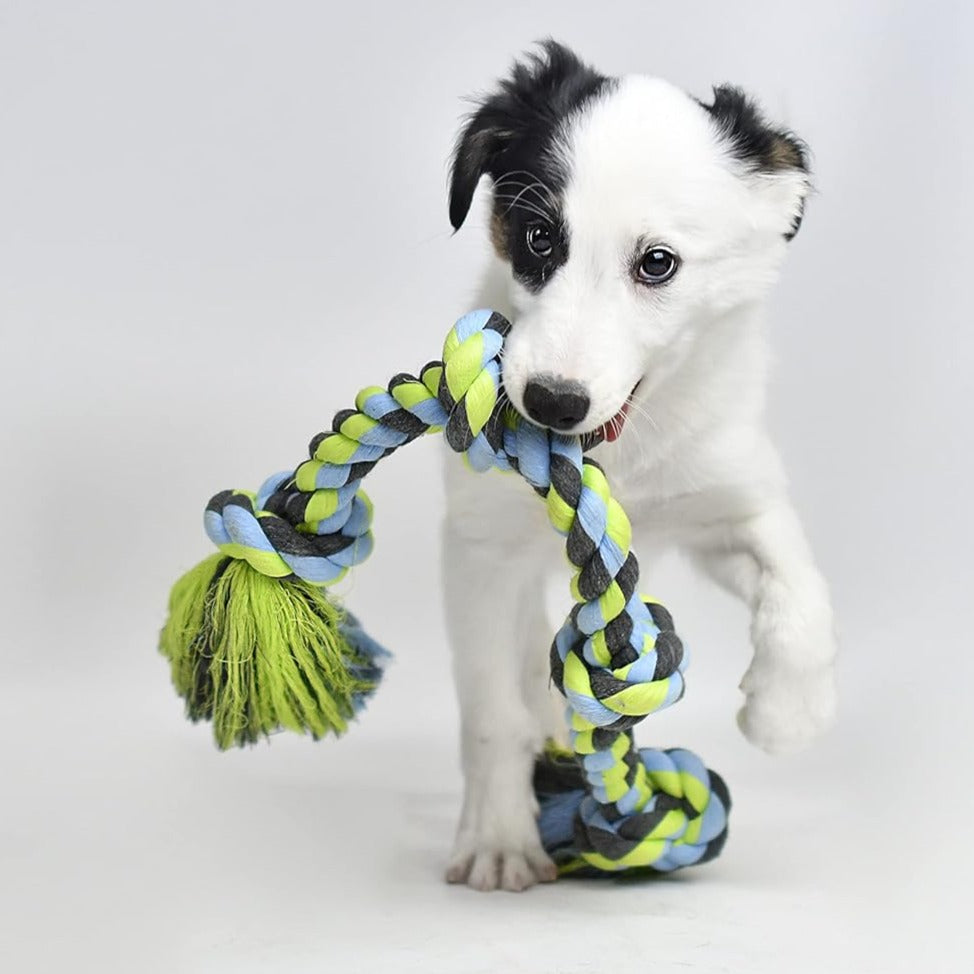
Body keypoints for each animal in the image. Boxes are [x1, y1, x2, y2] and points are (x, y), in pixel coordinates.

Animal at [442, 40, 840, 892]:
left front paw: (788, 712)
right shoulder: (481, 550)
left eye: (657, 263)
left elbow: (799, 585)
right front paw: (498, 833)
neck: (620, 458)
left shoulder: (727, 499)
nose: (551, 402)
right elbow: (492, 710)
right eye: (537, 238)